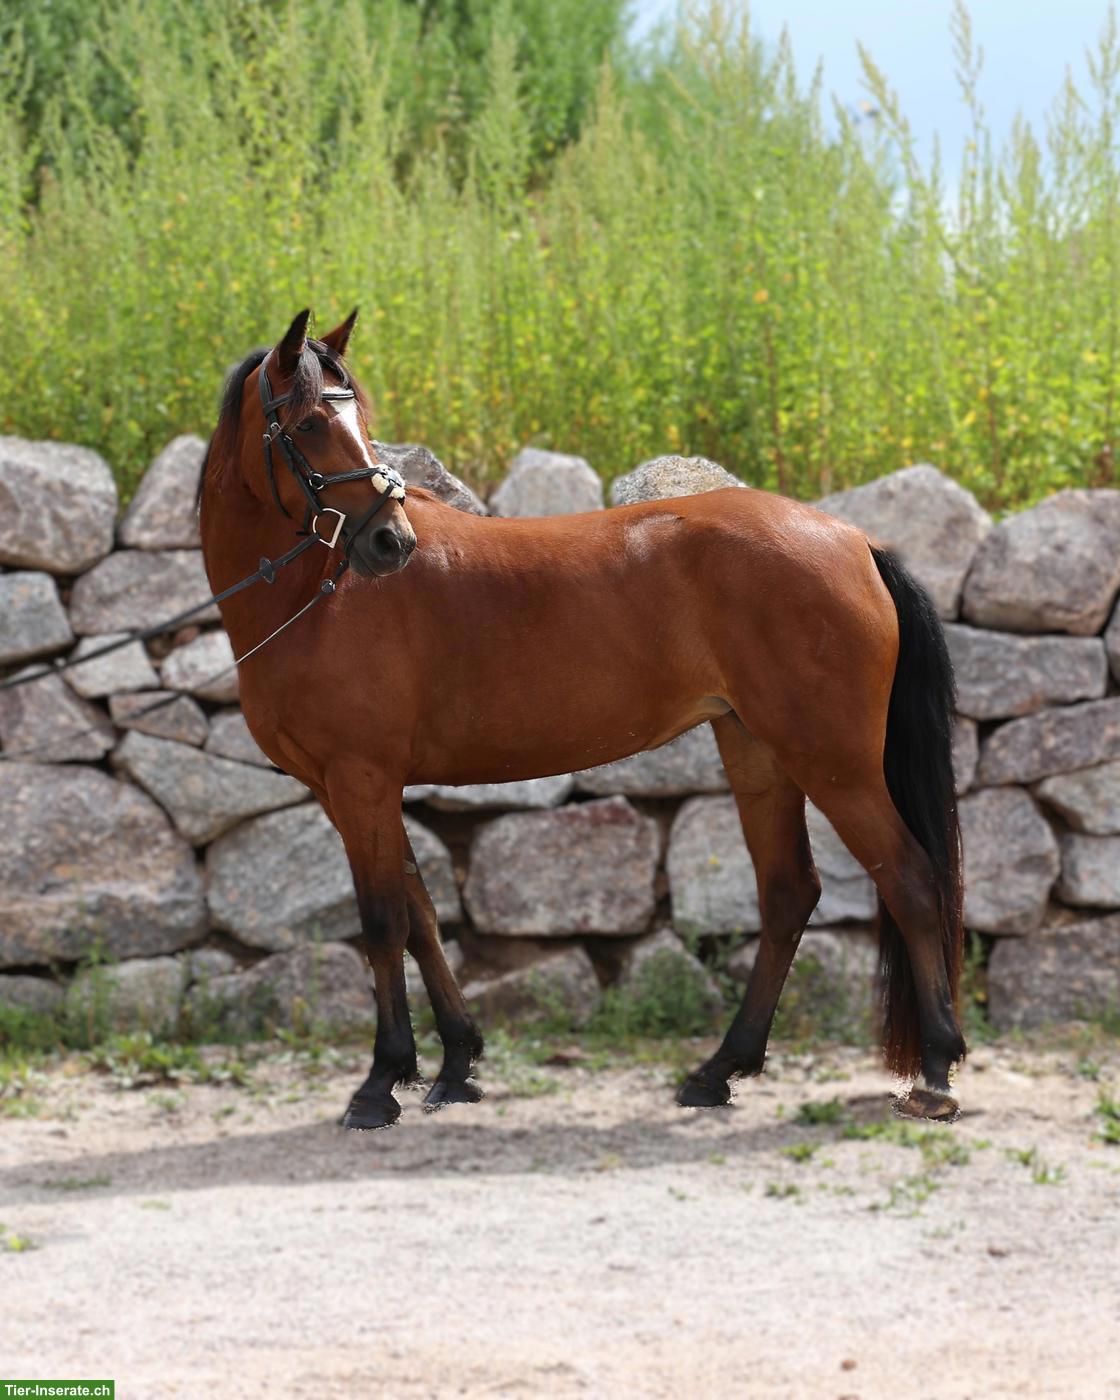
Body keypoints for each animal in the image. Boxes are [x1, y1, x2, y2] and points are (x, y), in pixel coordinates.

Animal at [198, 308, 966, 1130]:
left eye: (358, 422)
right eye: (310, 423)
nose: (390, 541)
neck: (321, 597)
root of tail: (855, 541)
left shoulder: (360, 780)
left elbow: (383, 922)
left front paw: (380, 1082)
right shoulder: (359, 788)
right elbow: (422, 914)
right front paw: (456, 1065)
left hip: (831, 760)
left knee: (910, 880)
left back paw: (935, 1075)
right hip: (757, 747)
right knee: (789, 891)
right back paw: (718, 1070)